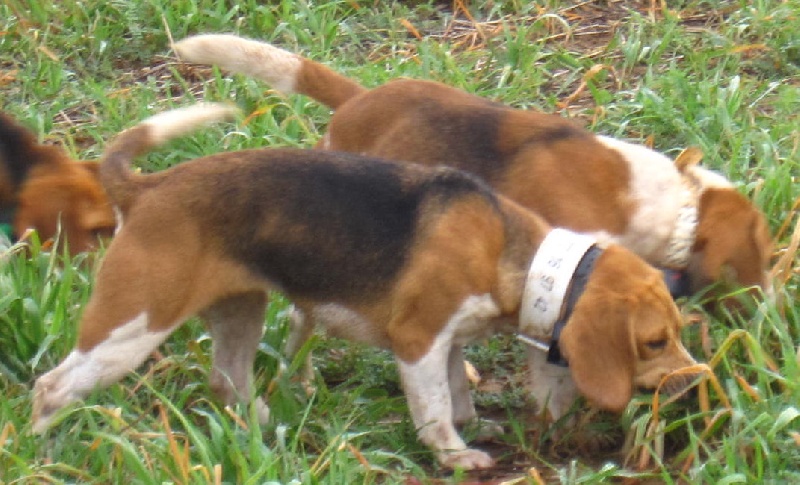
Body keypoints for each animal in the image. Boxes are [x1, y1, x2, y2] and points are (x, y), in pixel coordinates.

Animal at [31, 102, 696, 468]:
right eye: (654, 342)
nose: (692, 383)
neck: (524, 258)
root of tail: (148, 188)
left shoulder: (449, 340)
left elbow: (457, 390)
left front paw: (473, 424)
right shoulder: (418, 340)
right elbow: (434, 409)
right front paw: (455, 455)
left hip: (241, 309)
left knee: (227, 382)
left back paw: (266, 426)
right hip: (131, 326)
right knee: (52, 386)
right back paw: (41, 449)